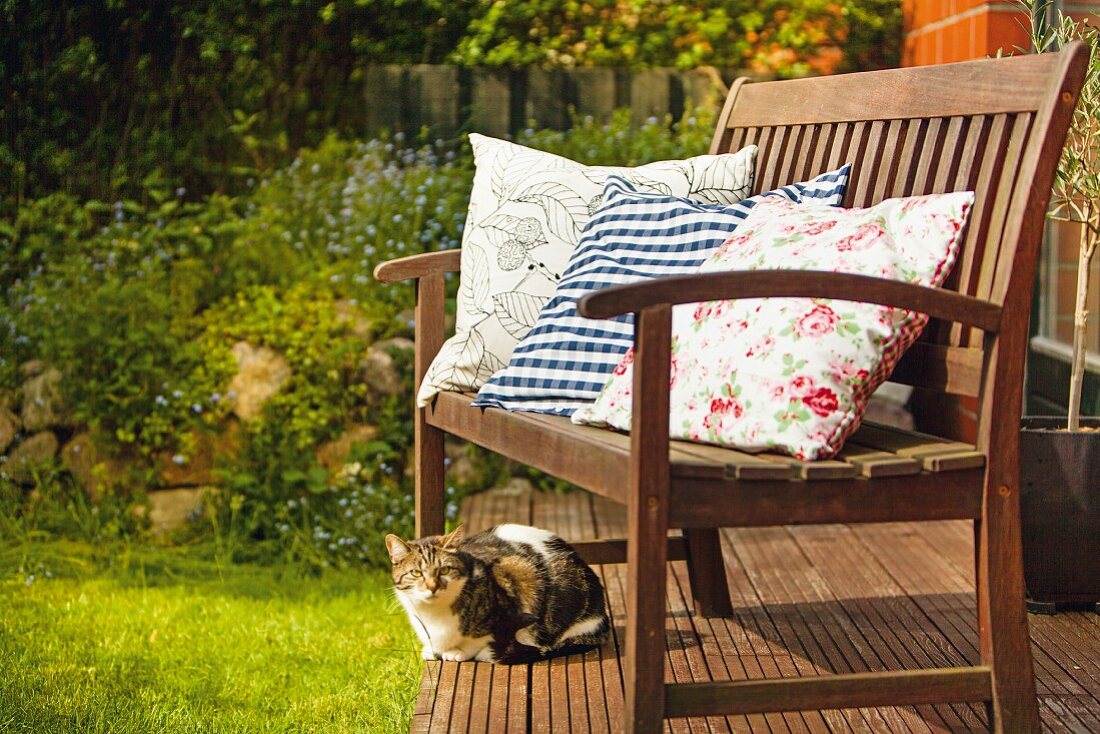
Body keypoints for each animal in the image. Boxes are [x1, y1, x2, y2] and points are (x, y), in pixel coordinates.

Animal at [387, 521, 611, 664]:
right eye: (416, 573)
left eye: (444, 570)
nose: (432, 586)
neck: (434, 616)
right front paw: (431, 649)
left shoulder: (517, 577)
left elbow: (486, 640)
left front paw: (462, 652)